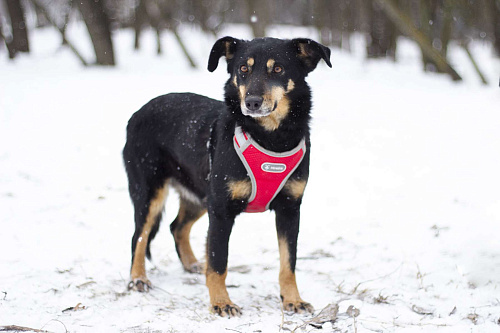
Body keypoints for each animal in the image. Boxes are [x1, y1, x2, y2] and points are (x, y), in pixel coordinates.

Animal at [122, 37, 332, 316]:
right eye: (243, 69)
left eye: (278, 69)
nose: (252, 102)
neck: (270, 138)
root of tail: (138, 112)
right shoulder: (221, 210)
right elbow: (218, 262)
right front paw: (221, 302)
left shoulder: (289, 208)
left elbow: (289, 263)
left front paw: (292, 300)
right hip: (150, 193)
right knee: (139, 235)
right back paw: (138, 278)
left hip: (200, 194)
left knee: (177, 226)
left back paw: (191, 264)